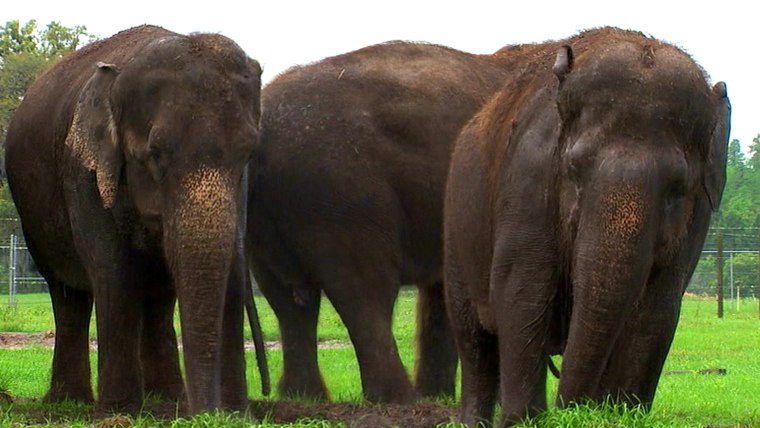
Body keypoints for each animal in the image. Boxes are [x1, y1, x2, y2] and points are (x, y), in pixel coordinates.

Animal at [3, 24, 268, 414]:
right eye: (154, 154)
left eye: (248, 152)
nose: (206, 412)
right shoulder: (83, 174)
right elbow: (115, 271)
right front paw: (119, 412)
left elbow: (231, 272)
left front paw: (234, 413)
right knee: (68, 296)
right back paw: (71, 402)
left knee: (158, 299)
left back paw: (167, 397)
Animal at [246, 40, 532, 402]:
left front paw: (437, 396)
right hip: (343, 196)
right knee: (365, 287)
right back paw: (398, 400)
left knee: (288, 298)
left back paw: (305, 397)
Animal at [446, 28, 732, 426]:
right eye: (574, 168)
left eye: (677, 189)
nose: (577, 410)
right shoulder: (529, 173)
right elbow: (521, 285)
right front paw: (525, 421)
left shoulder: (699, 214)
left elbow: (659, 304)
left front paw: (624, 413)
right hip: (456, 224)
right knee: (472, 335)